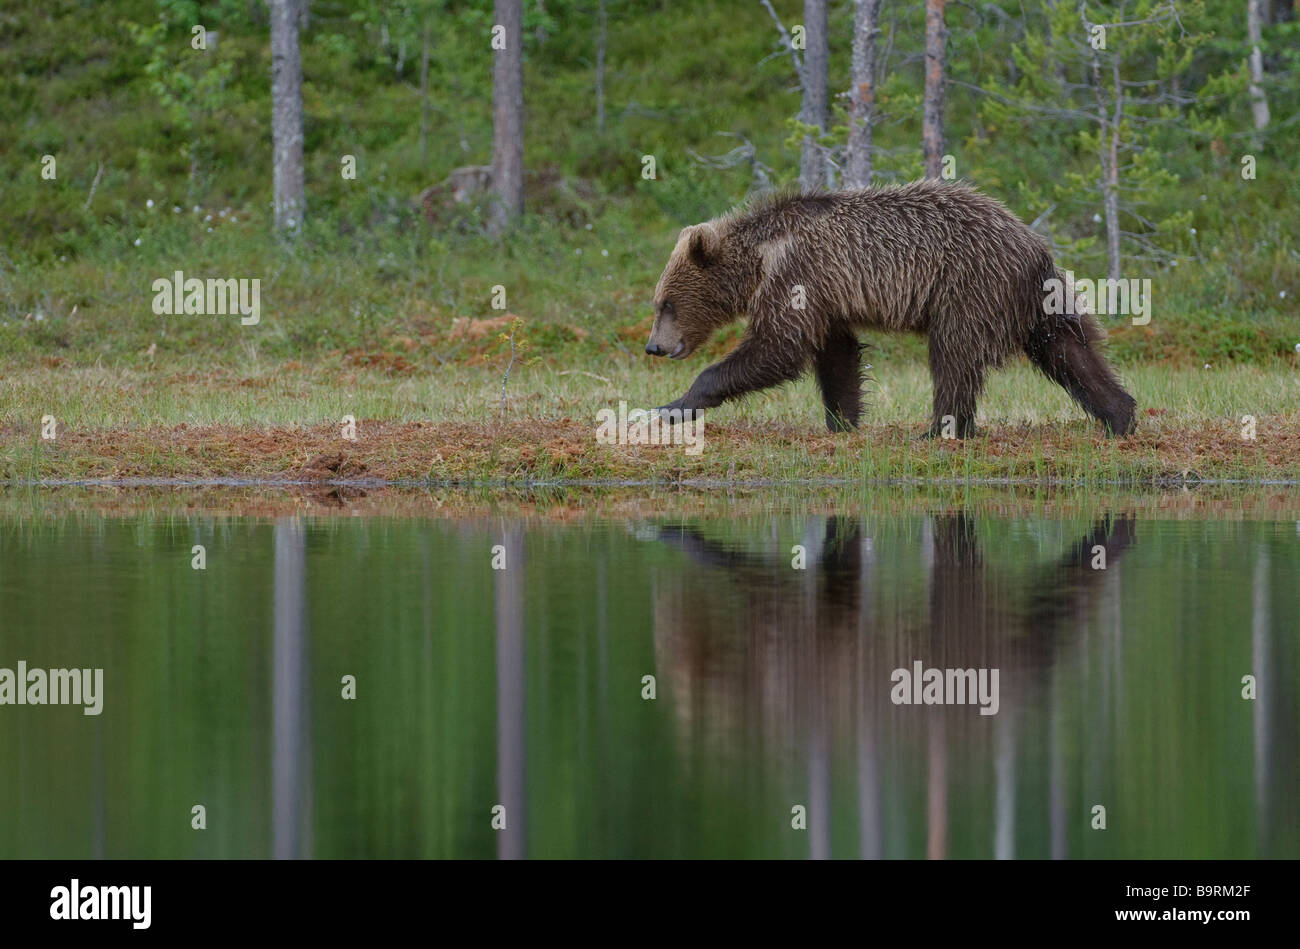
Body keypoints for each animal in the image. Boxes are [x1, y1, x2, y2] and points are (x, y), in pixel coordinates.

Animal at [647, 179, 1138, 436]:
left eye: (666, 303)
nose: (654, 346)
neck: (762, 257)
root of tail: (1033, 244)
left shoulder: (798, 276)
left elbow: (777, 347)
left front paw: (671, 405)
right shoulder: (827, 295)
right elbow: (837, 354)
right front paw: (843, 420)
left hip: (970, 287)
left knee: (954, 356)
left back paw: (940, 428)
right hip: (1038, 302)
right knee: (1070, 351)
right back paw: (1120, 414)